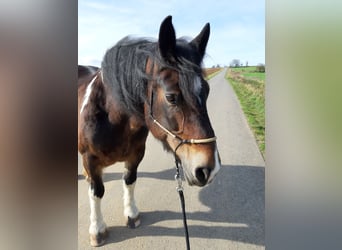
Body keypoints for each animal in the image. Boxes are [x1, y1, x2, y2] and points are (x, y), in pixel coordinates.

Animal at [78, 15, 222, 246]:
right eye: (171, 96)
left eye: (206, 91)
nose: (209, 169)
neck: (112, 117)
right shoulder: (90, 159)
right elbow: (97, 192)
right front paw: (97, 229)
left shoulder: (136, 155)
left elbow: (129, 181)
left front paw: (132, 214)